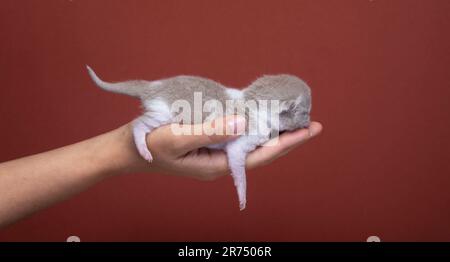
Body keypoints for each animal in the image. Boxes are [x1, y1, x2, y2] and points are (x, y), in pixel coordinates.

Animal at [86, 66, 312, 211]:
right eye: (305, 112)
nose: (310, 121)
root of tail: (153, 86)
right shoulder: (238, 146)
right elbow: (239, 171)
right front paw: (242, 197)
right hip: (164, 114)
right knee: (138, 125)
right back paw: (143, 148)